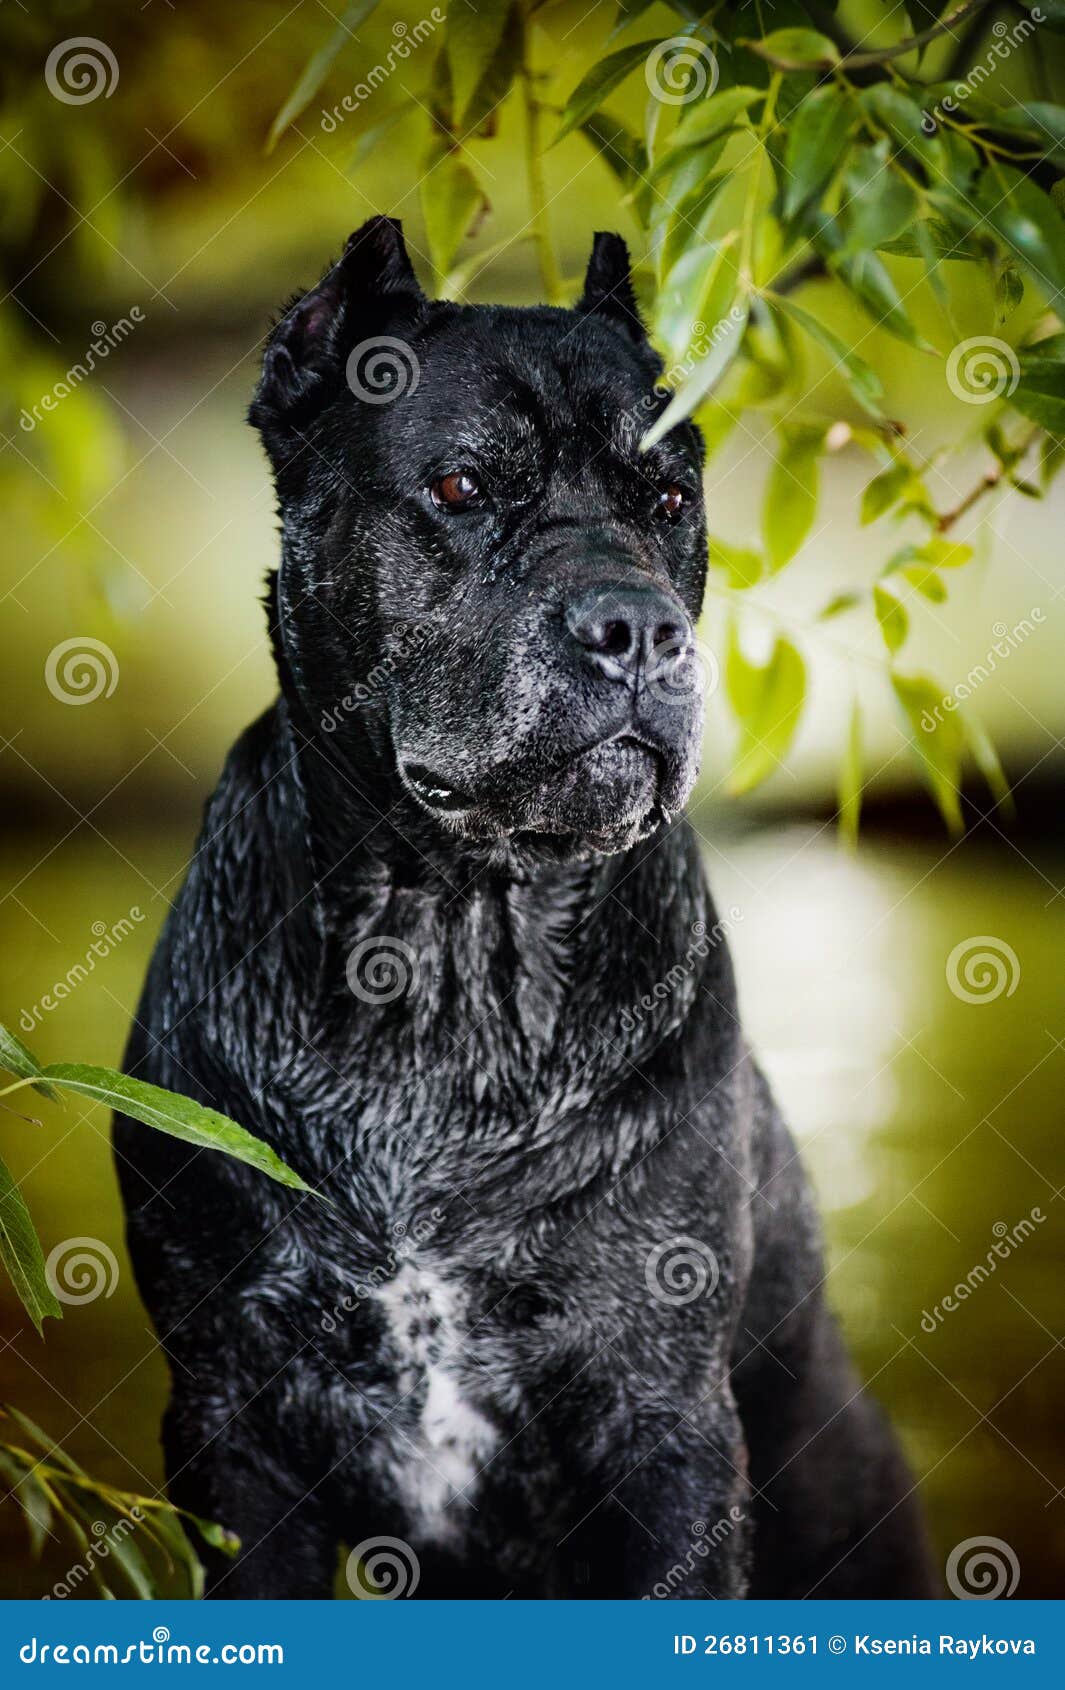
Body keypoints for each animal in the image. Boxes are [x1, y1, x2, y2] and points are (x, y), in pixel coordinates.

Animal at [114, 214, 933, 1595]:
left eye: (668, 500)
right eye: (461, 490)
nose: (638, 628)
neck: (455, 935)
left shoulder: (661, 1424)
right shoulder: (234, 1430)